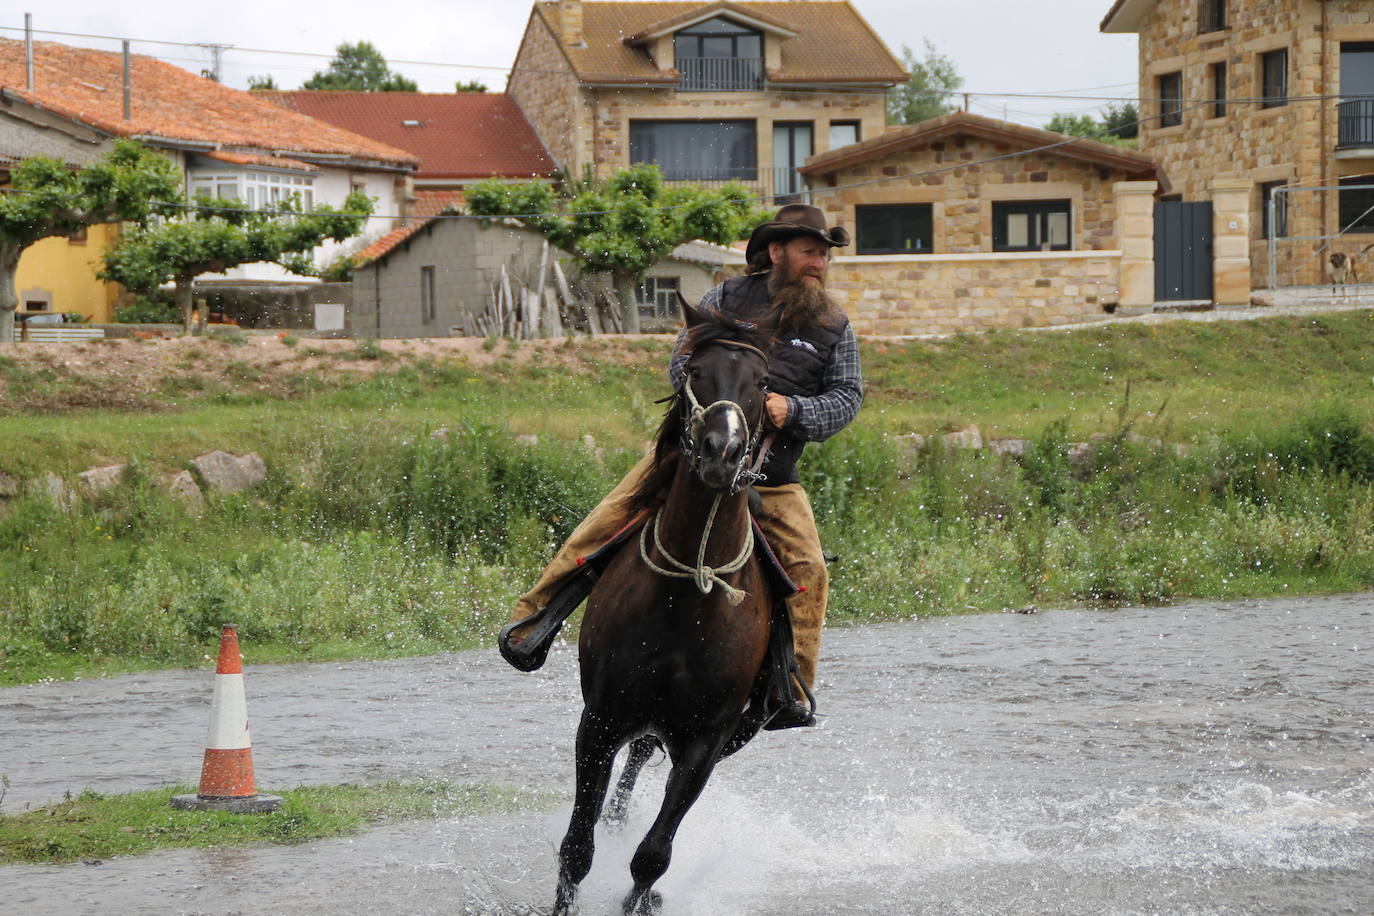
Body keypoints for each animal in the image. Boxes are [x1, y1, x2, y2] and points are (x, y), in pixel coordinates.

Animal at [552, 302, 780, 916]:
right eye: (695, 370)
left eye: (763, 384)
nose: (722, 451)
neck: (686, 605)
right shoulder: (601, 720)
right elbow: (576, 848)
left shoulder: (705, 742)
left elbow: (652, 856)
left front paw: (642, 896)